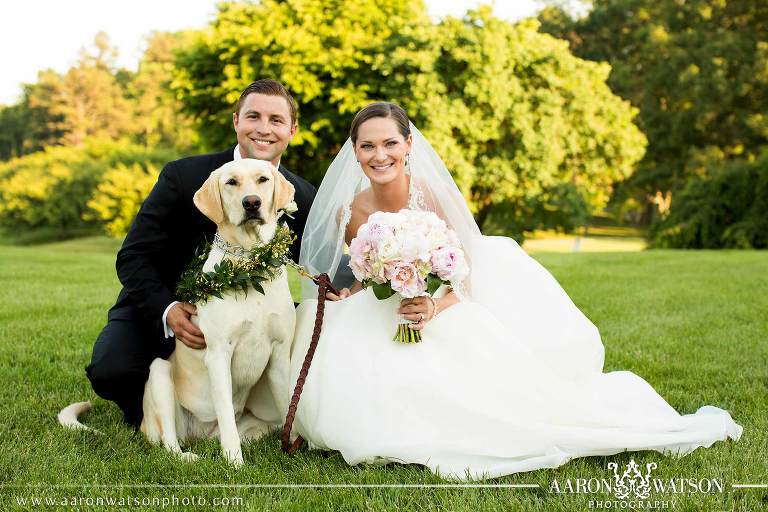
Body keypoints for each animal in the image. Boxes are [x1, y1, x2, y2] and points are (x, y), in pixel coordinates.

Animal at [59, 160, 296, 468]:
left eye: (263, 179)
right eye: (231, 182)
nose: (252, 202)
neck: (249, 262)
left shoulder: (279, 353)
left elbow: (287, 406)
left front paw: (293, 447)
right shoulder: (218, 354)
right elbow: (225, 415)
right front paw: (234, 463)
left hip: (258, 426)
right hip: (159, 374)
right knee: (168, 443)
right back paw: (189, 456)